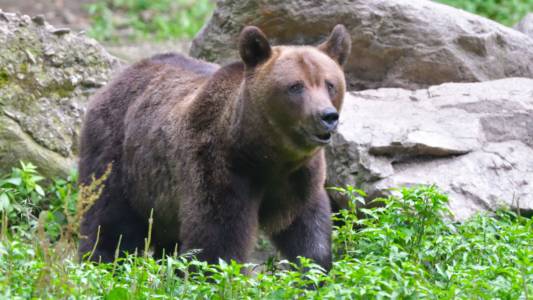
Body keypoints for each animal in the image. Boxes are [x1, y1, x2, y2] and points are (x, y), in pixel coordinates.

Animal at [78, 24, 350, 270]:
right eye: (295, 86)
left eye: (329, 84)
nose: (327, 116)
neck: (264, 155)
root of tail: (120, 75)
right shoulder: (218, 167)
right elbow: (217, 240)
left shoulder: (299, 179)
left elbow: (308, 233)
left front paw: (313, 273)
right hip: (118, 155)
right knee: (108, 220)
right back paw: (100, 263)